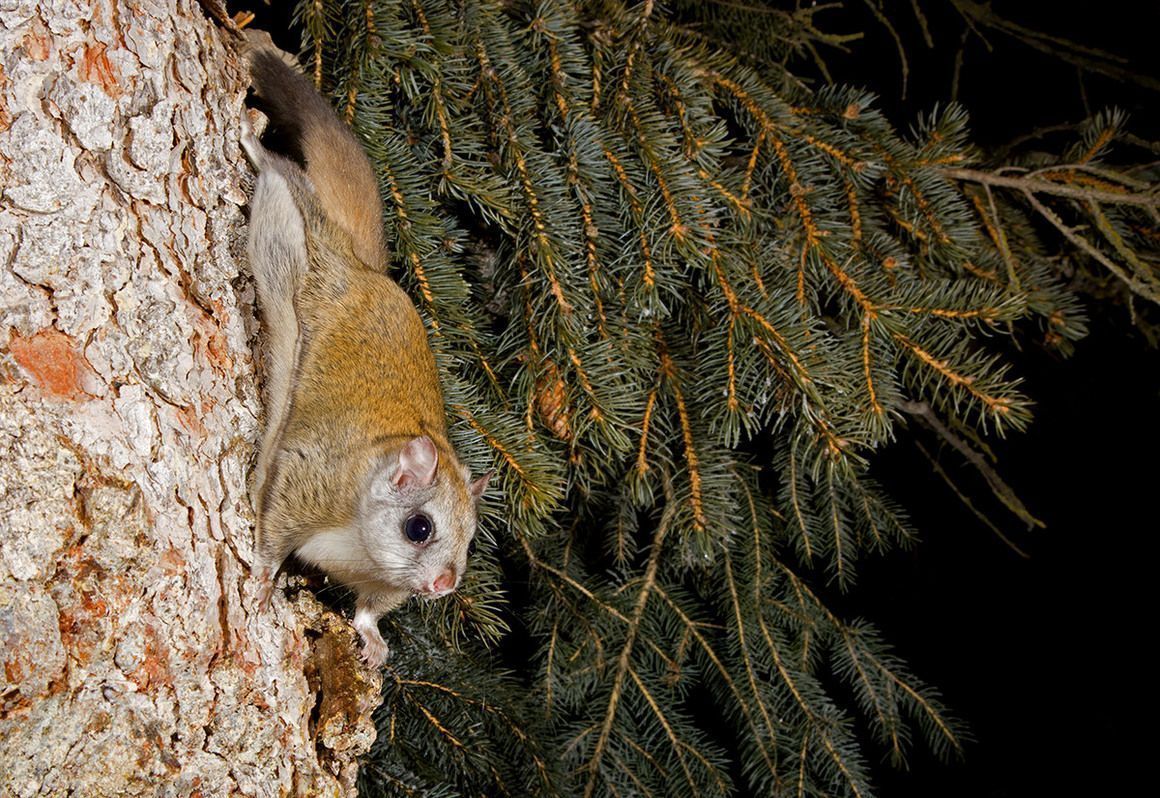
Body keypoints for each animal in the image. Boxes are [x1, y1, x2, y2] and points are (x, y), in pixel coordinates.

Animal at [240, 31, 490, 667]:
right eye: (419, 527)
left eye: (472, 538)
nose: (445, 584)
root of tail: (366, 271)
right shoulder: (307, 482)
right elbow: (272, 535)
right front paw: (262, 579)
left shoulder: (380, 583)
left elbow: (371, 608)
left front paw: (373, 640)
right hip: (296, 240)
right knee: (286, 177)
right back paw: (252, 140)